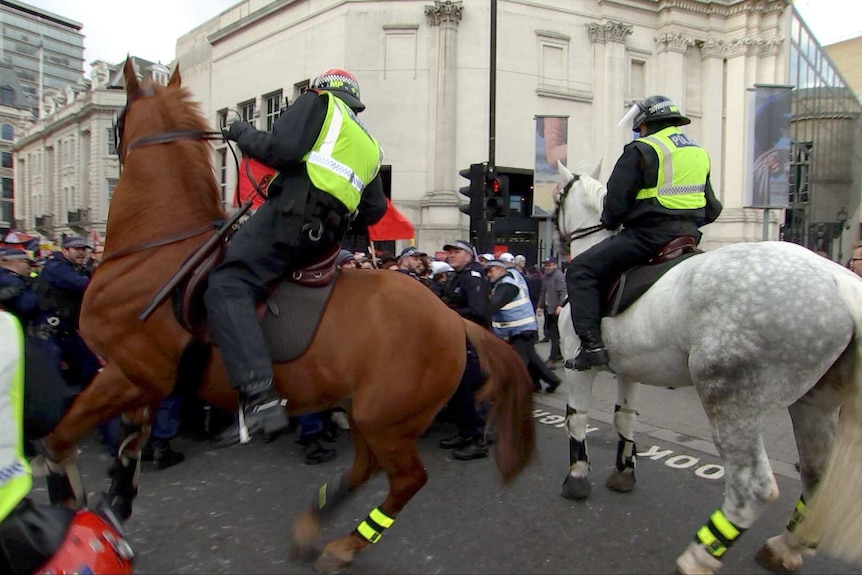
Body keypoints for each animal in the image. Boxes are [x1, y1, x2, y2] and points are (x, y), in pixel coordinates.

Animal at [44, 60, 536, 572]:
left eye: (116, 123)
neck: (155, 249)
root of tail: (453, 319)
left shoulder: (125, 372)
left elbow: (59, 440)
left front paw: (65, 497)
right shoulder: (141, 380)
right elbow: (127, 448)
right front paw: (114, 507)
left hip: (386, 419)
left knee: (405, 480)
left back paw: (342, 543)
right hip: (370, 413)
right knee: (366, 468)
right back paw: (314, 521)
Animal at [556, 162, 862, 575]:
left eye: (557, 197)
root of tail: (841, 282)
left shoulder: (578, 365)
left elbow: (576, 419)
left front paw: (577, 477)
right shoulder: (630, 370)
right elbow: (625, 419)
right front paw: (623, 472)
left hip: (731, 401)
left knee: (754, 488)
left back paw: (699, 555)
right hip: (815, 403)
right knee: (817, 477)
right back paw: (785, 547)